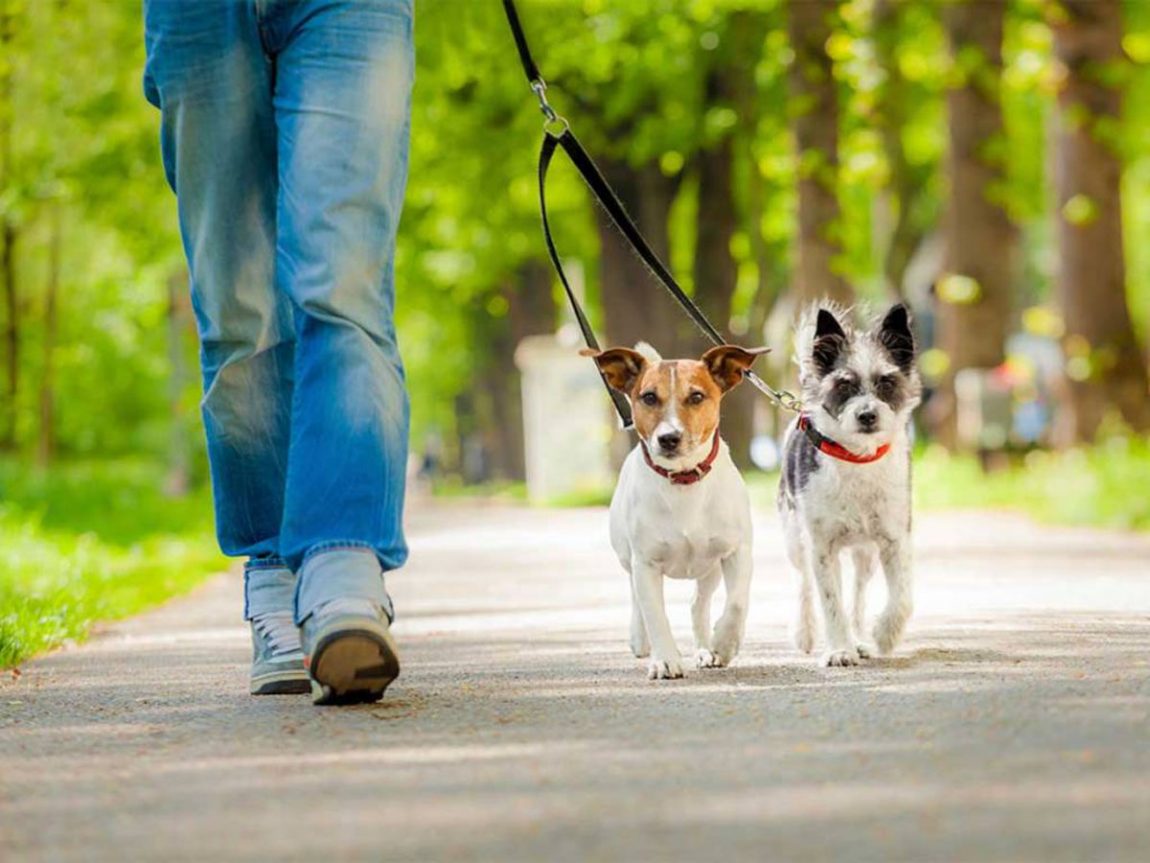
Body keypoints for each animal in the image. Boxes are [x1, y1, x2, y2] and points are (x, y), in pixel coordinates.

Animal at [588, 340, 768, 681]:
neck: (684, 480)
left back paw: (705, 649)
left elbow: (737, 603)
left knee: (699, 604)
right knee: (636, 597)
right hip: (627, 557)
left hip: (710, 568)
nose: (668, 438)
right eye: (648, 397)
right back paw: (640, 638)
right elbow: (655, 614)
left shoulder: (737, 552)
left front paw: (724, 644)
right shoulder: (645, 563)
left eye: (696, 396)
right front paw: (665, 660)